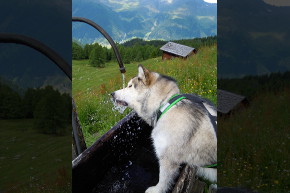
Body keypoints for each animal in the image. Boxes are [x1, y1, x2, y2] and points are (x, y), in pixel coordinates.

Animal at [111, 65, 215, 193]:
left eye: (130, 86)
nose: (112, 94)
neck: (165, 105)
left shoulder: (167, 159)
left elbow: (163, 179)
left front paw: (156, 190)